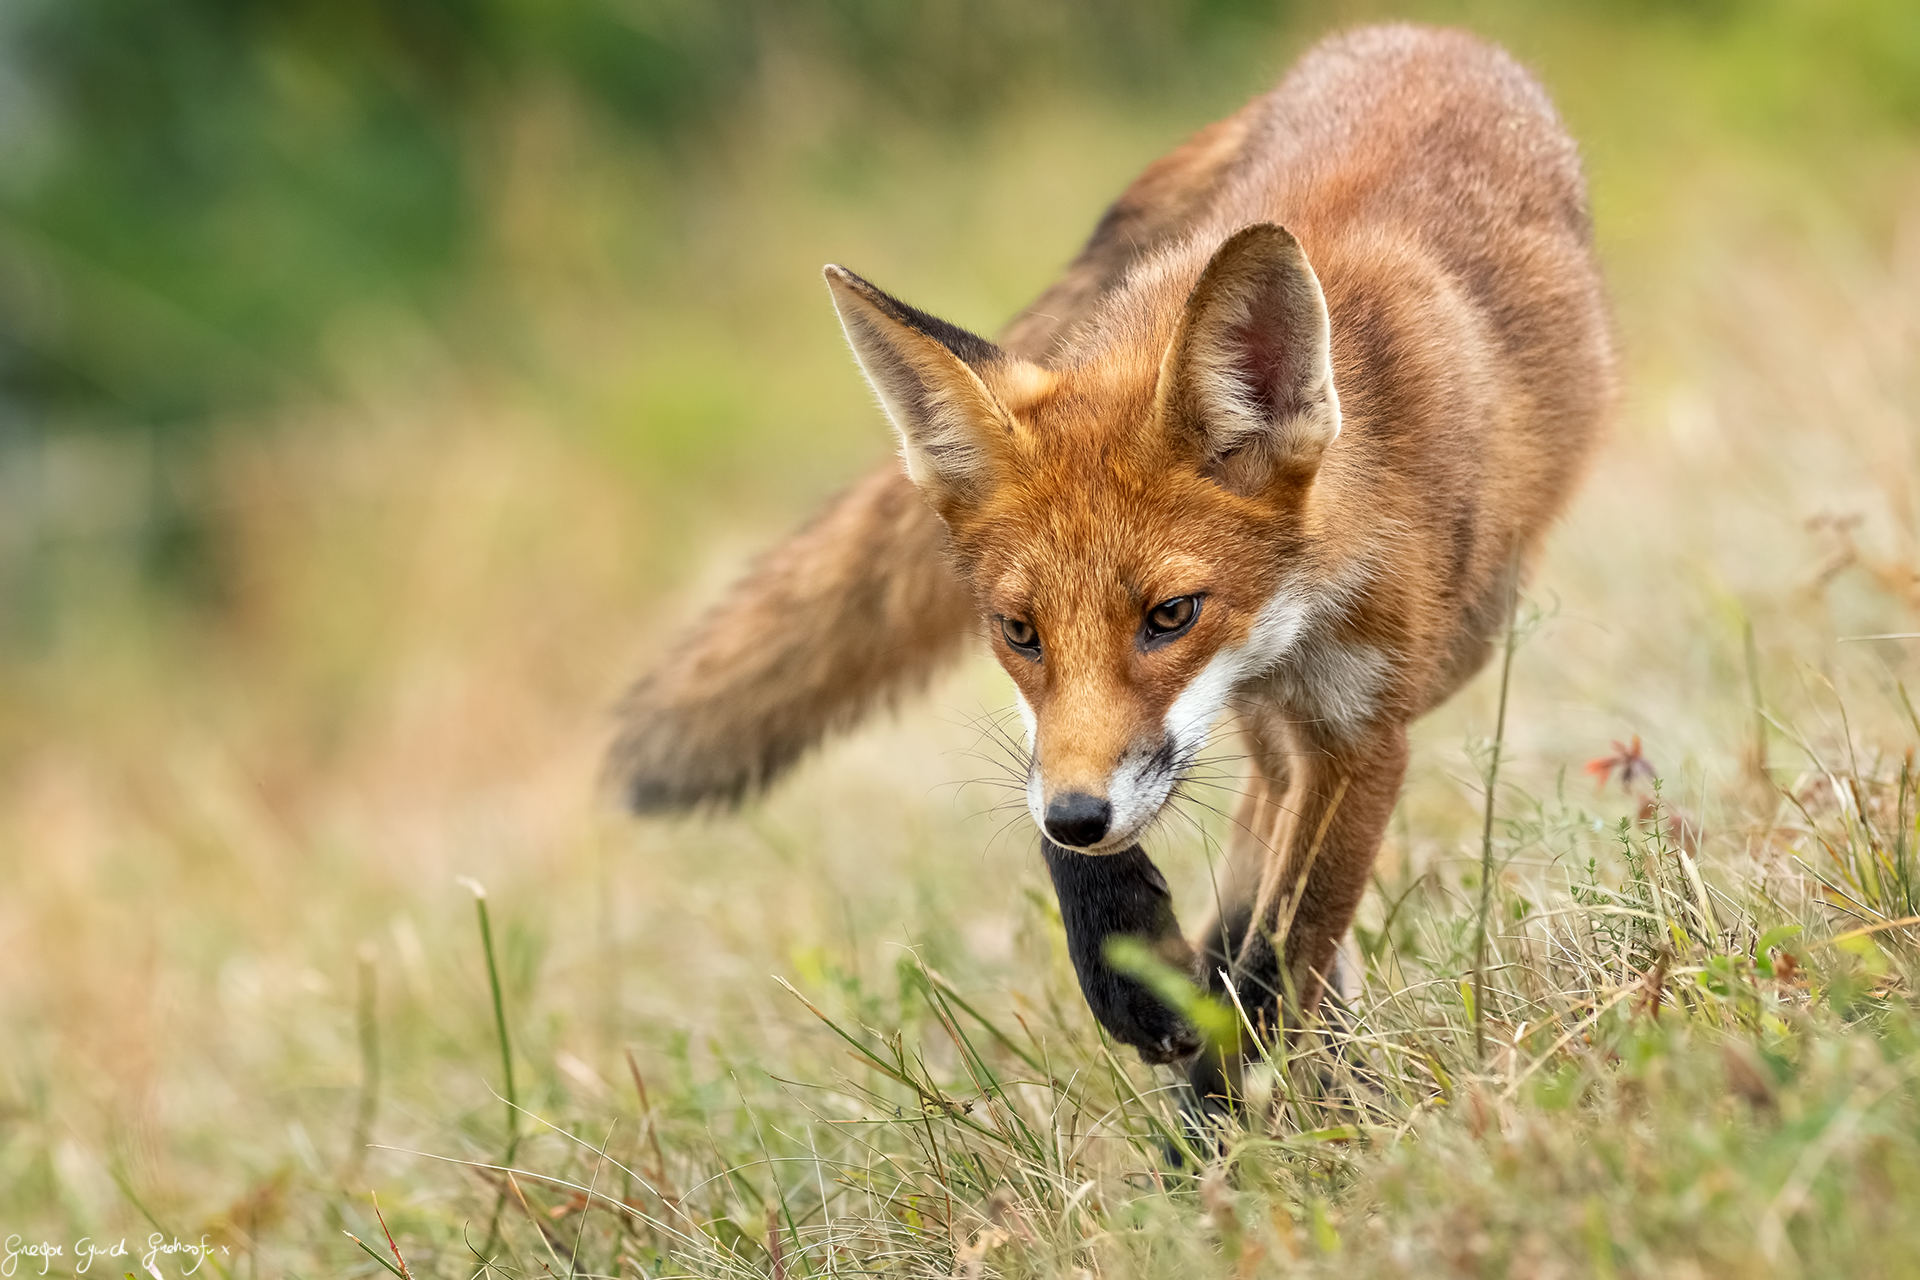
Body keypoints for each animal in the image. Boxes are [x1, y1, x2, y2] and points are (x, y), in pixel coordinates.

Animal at [610, 25, 1613, 1100]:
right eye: (1019, 631)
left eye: (1171, 614)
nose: (1079, 817)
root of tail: (1413, 35)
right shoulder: (1093, 737)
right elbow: (1084, 812)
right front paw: (1132, 967)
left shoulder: (1363, 734)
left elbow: (1278, 958)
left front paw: (1226, 1120)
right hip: (1280, 721)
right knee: (1255, 811)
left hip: (1456, 644)